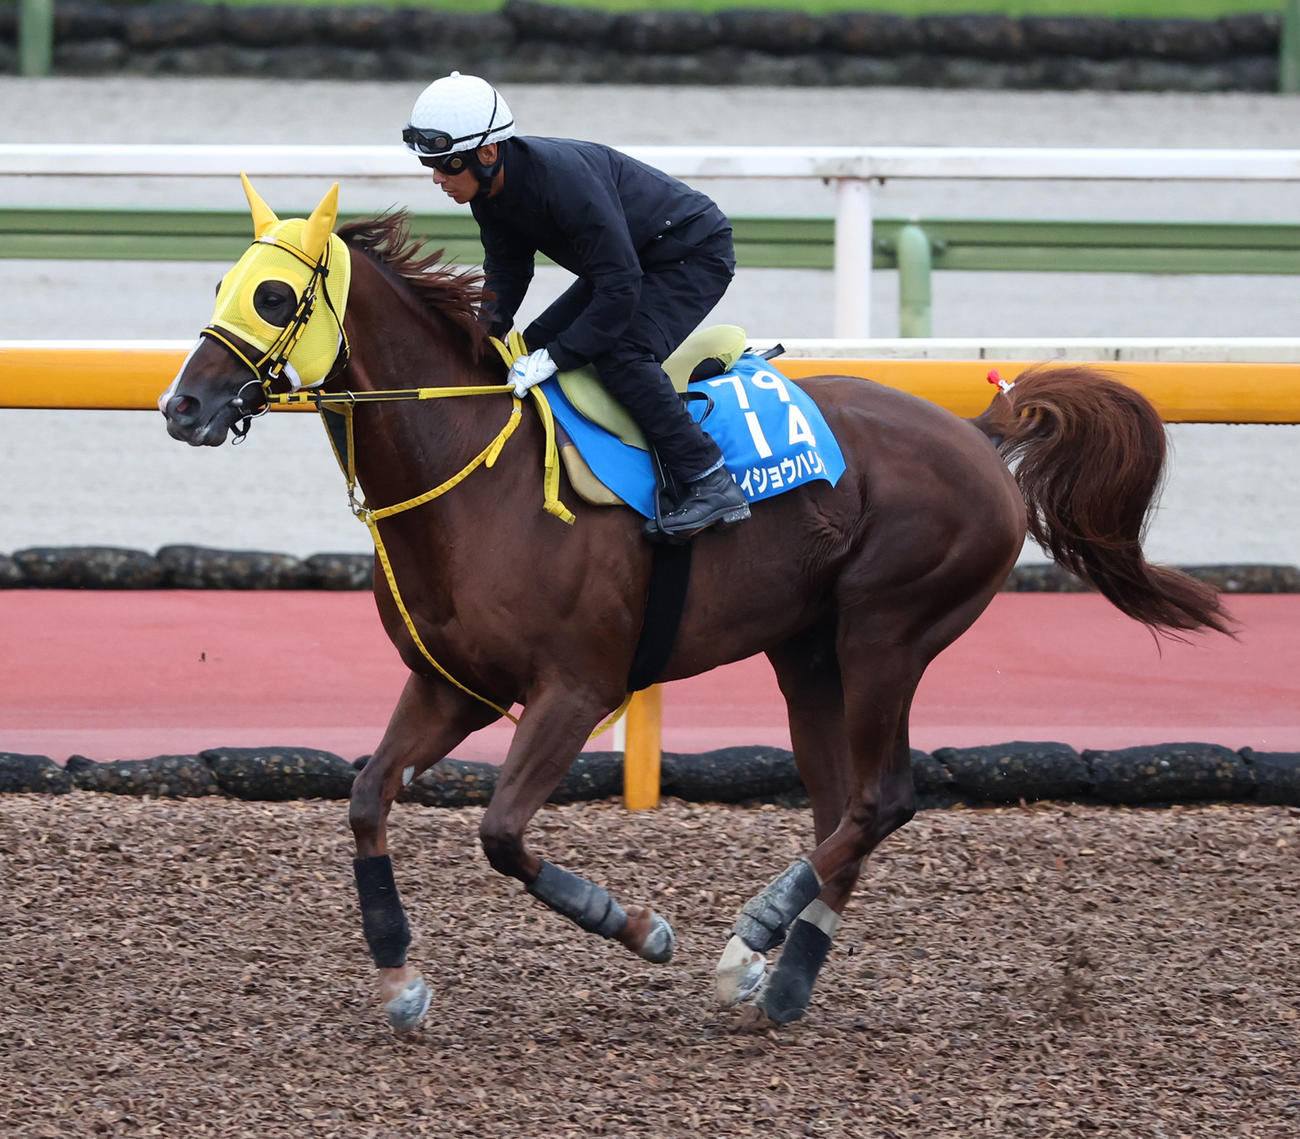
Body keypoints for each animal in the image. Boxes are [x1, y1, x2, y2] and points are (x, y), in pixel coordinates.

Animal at [160, 179, 1232, 1034]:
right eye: (219, 286)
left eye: (274, 295)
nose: (184, 407)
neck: (474, 478)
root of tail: (978, 431)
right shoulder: (449, 686)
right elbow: (365, 796)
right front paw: (399, 978)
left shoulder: (577, 688)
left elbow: (501, 831)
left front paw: (636, 926)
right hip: (809, 654)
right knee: (843, 807)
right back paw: (782, 976)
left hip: (887, 631)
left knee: (884, 797)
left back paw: (750, 940)